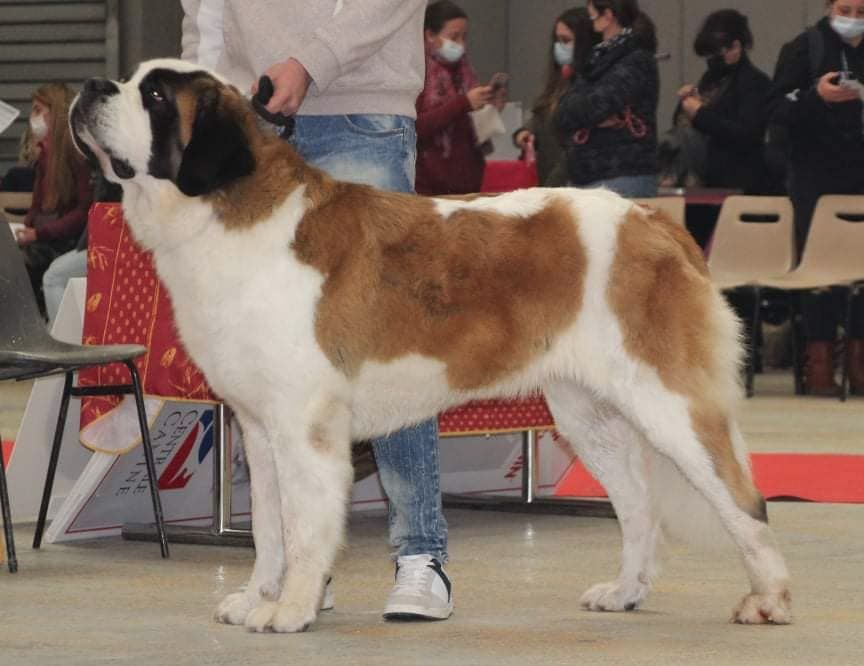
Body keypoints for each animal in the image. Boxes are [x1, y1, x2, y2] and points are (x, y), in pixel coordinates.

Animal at [72, 59, 788, 632]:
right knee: (638, 506)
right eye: (133, 80)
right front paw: (257, 598)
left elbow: (304, 530)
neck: (229, 210)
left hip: (669, 404)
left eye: (155, 96)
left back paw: (768, 599)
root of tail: (656, 219)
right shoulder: (259, 427)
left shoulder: (305, 429)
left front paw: (292, 611)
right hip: (587, 414)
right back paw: (626, 592)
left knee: (744, 498)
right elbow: (269, 530)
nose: (91, 85)